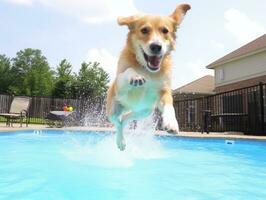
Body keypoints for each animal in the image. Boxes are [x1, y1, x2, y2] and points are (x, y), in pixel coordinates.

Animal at [106, 3, 191, 150]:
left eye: (165, 31)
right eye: (144, 30)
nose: (156, 46)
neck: (147, 69)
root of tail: (130, 107)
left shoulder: (164, 90)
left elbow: (169, 104)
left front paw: (171, 122)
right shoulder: (119, 84)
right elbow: (128, 71)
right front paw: (136, 76)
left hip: (142, 112)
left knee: (125, 119)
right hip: (113, 110)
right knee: (117, 122)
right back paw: (120, 141)